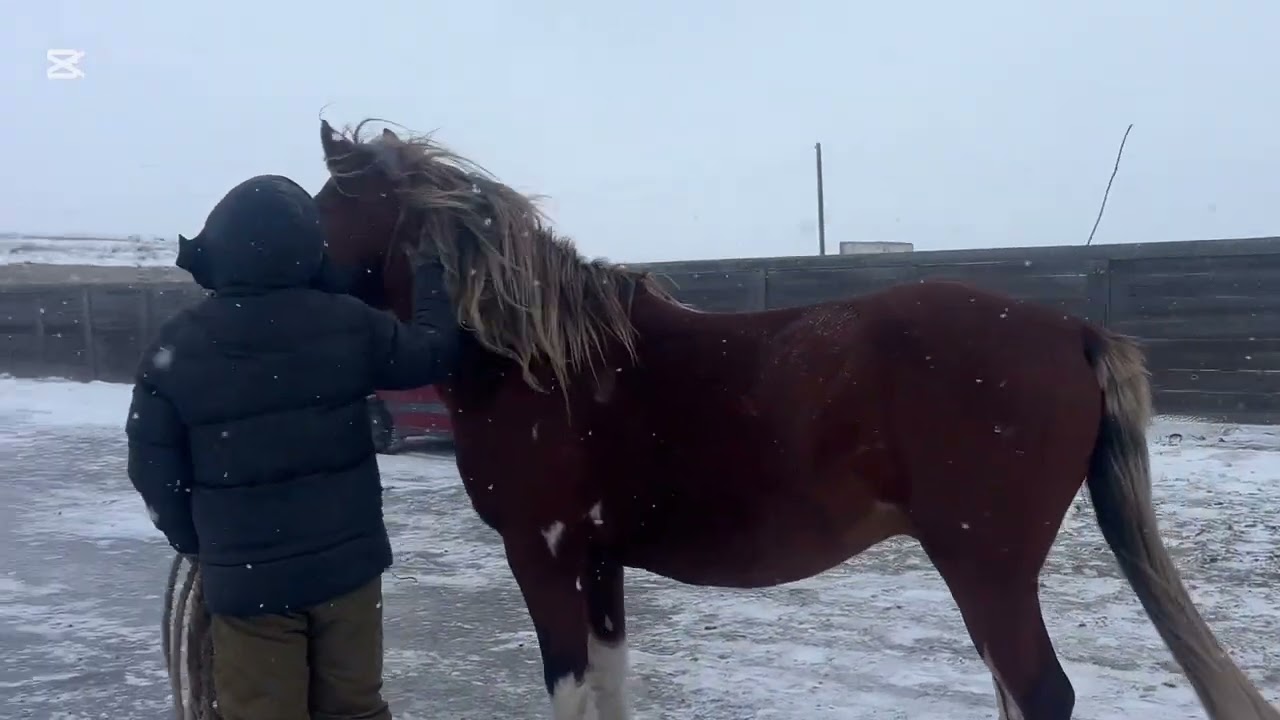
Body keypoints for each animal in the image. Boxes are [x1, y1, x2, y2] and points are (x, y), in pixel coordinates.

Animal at [311, 117, 1278, 720]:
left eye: (320, 207)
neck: (540, 357)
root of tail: (1070, 328)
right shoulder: (600, 563)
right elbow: (612, 690)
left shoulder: (542, 556)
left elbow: (572, 691)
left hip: (987, 568)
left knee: (1039, 694)